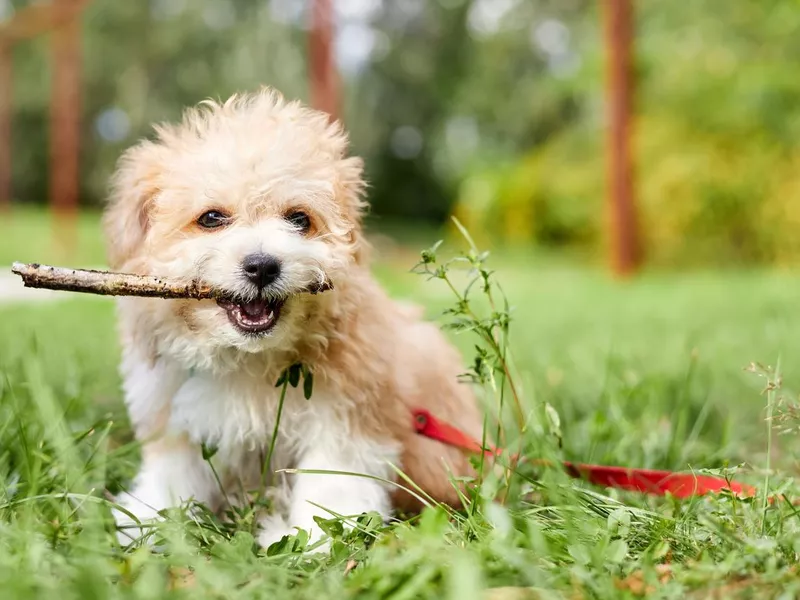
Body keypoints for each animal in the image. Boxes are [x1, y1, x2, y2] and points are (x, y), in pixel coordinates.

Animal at [105, 89, 482, 548]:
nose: (262, 266)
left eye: (299, 219)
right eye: (211, 218)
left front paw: (315, 539)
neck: (249, 359)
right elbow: (173, 473)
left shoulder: (348, 418)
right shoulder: (173, 412)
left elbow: (332, 482)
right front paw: (148, 522)